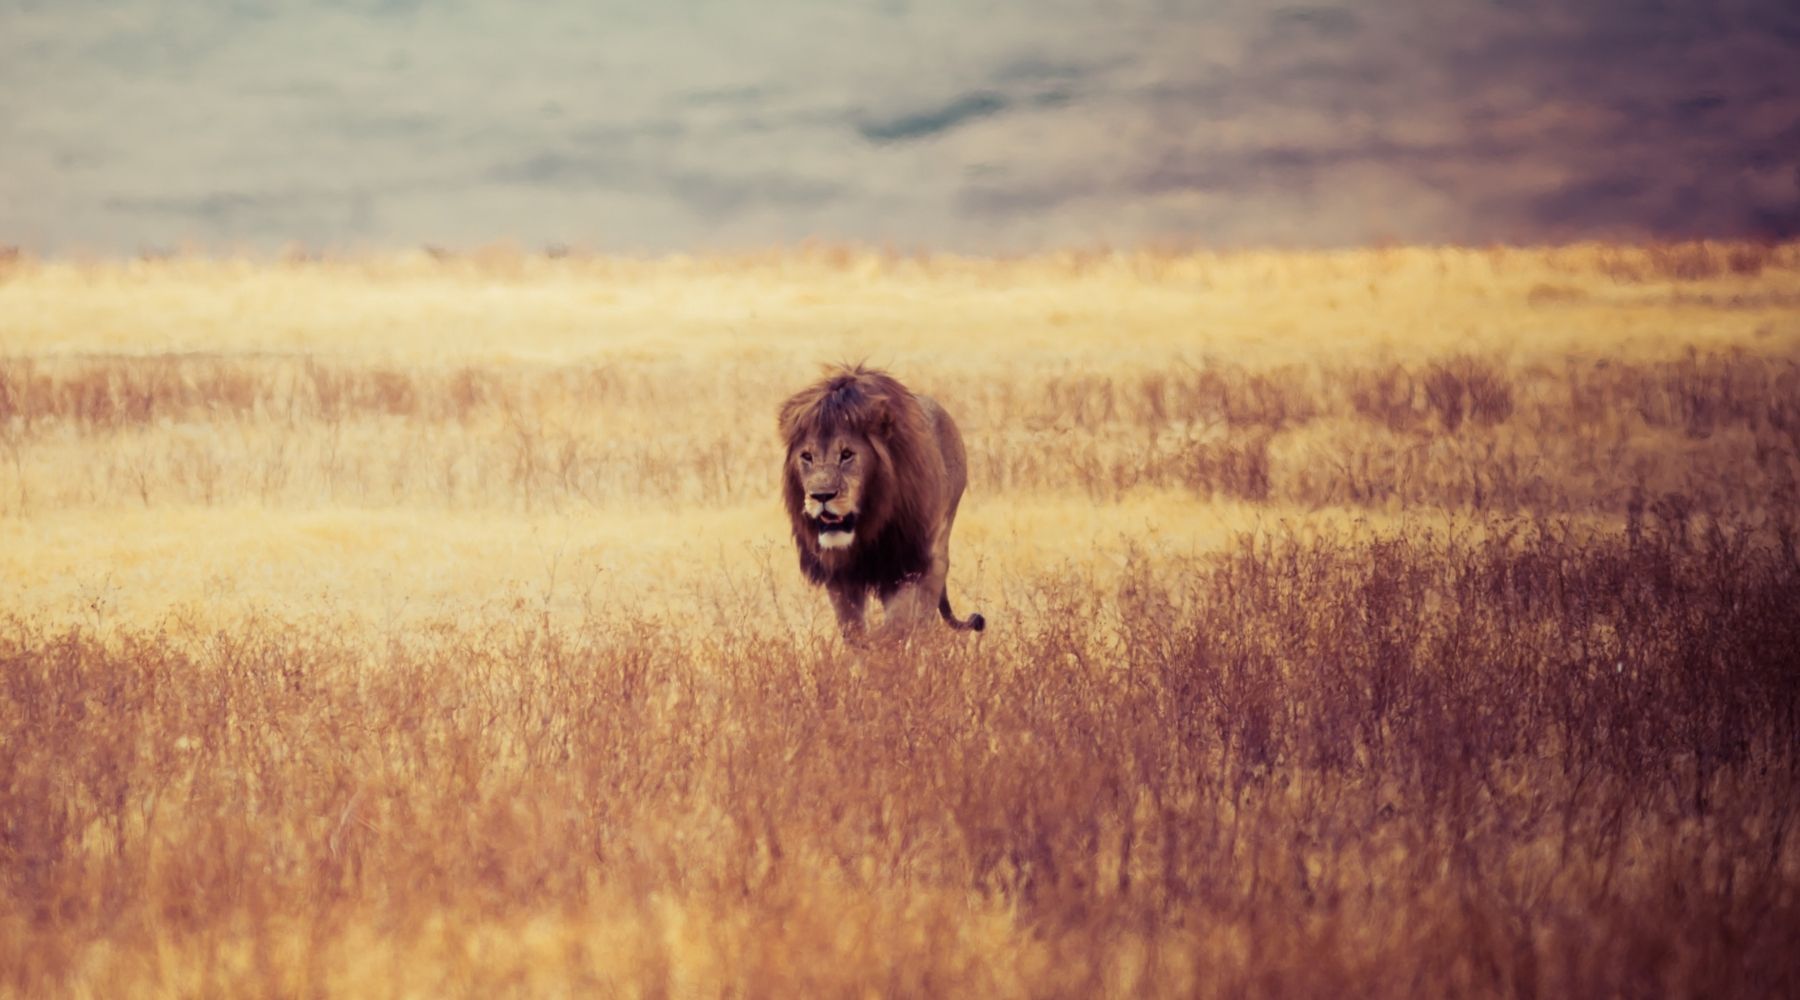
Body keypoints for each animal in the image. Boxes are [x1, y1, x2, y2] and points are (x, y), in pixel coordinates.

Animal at [779, 364, 986, 640]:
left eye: (847, 454)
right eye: (807, 456)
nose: (821, 496)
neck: (868, 524)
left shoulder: (904, 565)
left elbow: (897, 625)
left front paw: (885, 646)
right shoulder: (839, 576)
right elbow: (854, 631)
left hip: (936, 548)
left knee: (925, 617)